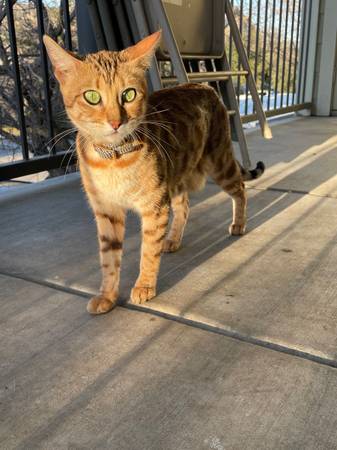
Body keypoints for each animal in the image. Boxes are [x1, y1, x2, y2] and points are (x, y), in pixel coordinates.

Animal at [44, 31, 266, 314]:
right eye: (92, 97)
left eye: (128, 94)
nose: (116, 123)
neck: (113, 161)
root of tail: (205, 87)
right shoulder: (106, 211)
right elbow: (109, 259)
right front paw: (107, 295)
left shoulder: (154, 206)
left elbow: (148, 251)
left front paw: (144, 286)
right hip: (177, 174)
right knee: (184, 205)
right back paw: (173, 238)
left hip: (219, 162)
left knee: (240, 189)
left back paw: (238, 223)